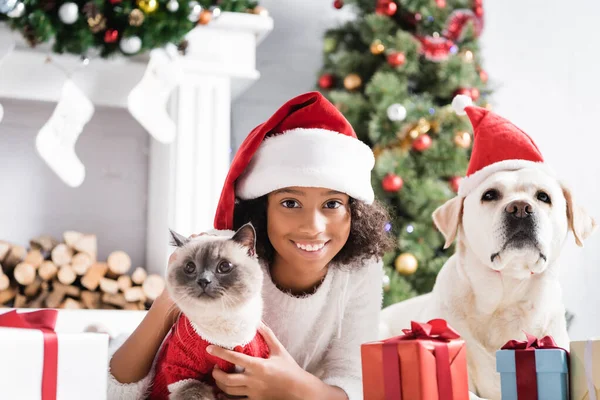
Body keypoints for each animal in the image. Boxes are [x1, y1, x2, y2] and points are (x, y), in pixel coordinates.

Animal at [149, 222, 270, 400]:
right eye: (190, 267)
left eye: (224, 266)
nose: (203, 281)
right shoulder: (183, 373)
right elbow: (194, 393)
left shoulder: (247, 374)